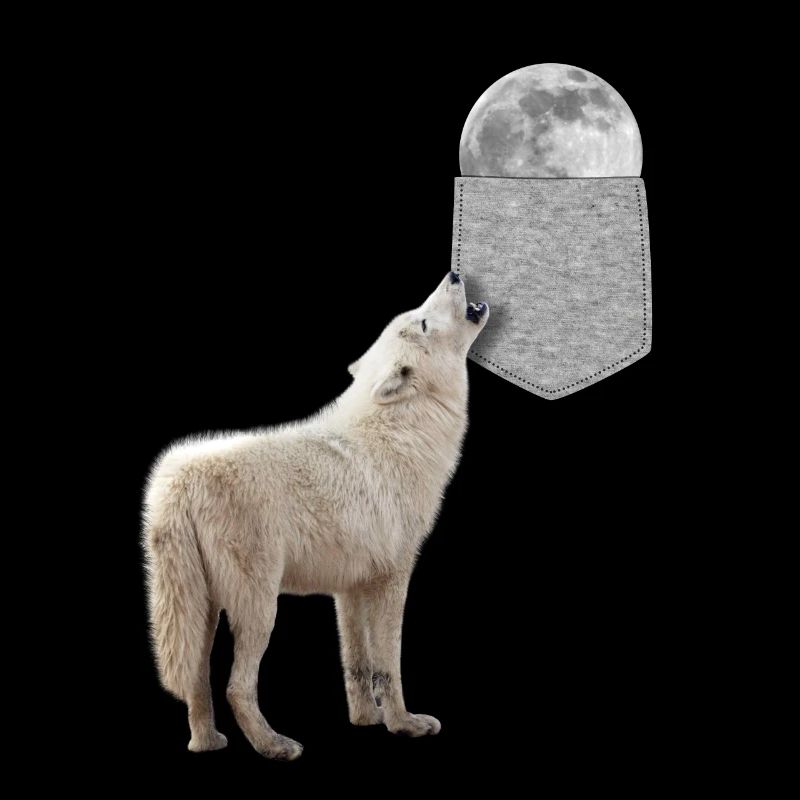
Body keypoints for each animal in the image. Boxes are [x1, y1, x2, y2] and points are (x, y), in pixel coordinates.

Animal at [142, 272, 488, 759]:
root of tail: (178, 479)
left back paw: (207, 743)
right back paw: (274, 746)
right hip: (259, 607)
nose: (454, 275)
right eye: (421, 320)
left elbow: (358, 666)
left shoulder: (350, 588)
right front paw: (404, 724)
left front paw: (365, 721)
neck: (398, 433)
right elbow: (389, 666)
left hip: (202, 609)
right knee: (236, 687)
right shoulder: (393, 578)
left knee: (196, 679)